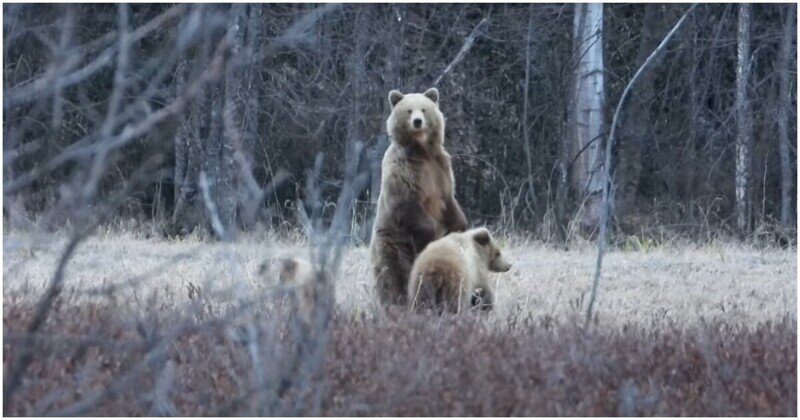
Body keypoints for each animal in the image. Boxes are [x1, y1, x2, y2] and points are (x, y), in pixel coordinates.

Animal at [370, 87, 468, 306]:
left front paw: (460, 225)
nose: (417, 121)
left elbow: (450, 200)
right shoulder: (403, 172)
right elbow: (408, 206)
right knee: (394, 275)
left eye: (424, 109)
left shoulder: (440, 169)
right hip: (394, 244)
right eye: (408, 110)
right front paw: (431, 233)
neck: (422, 152)